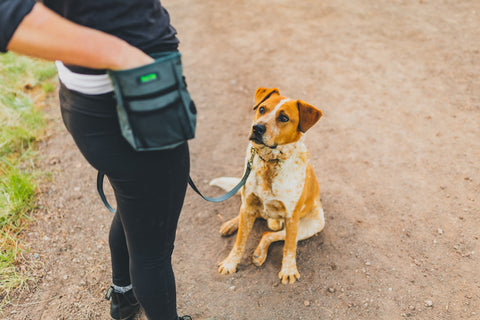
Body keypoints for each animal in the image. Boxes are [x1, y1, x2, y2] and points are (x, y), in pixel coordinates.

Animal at [211, 87, 326, 282]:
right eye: (262, 109)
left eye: (284, 118)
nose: (257, 128)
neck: (270, 162)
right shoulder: (249, 205)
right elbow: (239, 242)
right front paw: (230, 263)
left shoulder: (292, 217)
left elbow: (289, 247)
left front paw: (288, 270)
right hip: (248, 206)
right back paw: (232, 224)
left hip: (314, 223)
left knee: (269, 234)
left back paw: (260, 253)